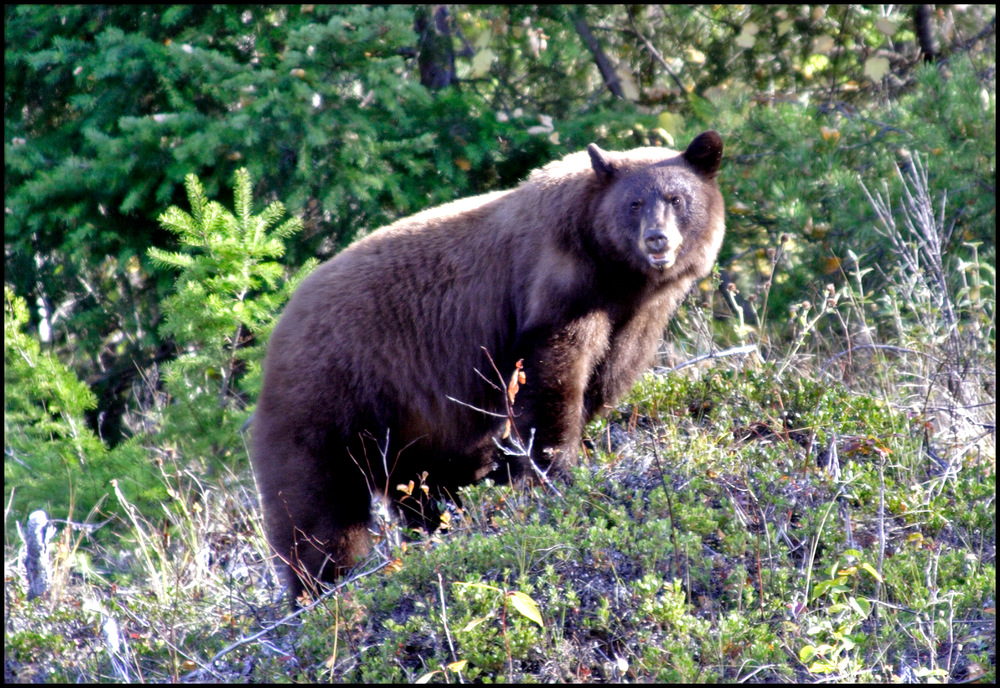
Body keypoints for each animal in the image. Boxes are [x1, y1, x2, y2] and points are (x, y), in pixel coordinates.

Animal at [249, 130, 720, 600]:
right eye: (634, 204)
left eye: (677, 198)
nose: (657, 239)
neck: (616, 275)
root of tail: (278, 328)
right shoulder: (558, 284)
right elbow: (551, 374)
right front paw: (555, 471)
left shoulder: (636, 317)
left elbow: (604, 378)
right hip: (328, 394)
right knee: (316, 503)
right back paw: (324, 584)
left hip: (409, 430)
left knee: (426, 485)